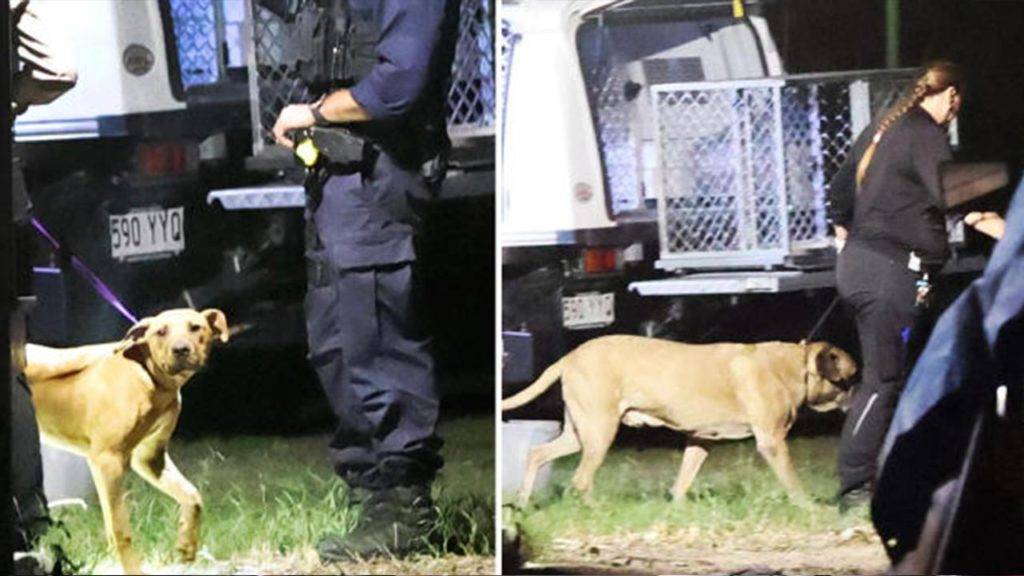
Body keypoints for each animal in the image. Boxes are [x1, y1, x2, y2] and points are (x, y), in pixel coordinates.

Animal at [503, 334, 856, 504]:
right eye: (850, 378)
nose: (858, 396)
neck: (794, 366)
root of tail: (571, 355)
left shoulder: (700, 440)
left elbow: (683, 481)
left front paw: (676, 507)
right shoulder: (772, 442)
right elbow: (793, 483)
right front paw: (809, 507)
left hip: (579, 435)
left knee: (537, 455)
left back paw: (522, 501)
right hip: (600, 433)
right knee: (581, 479)